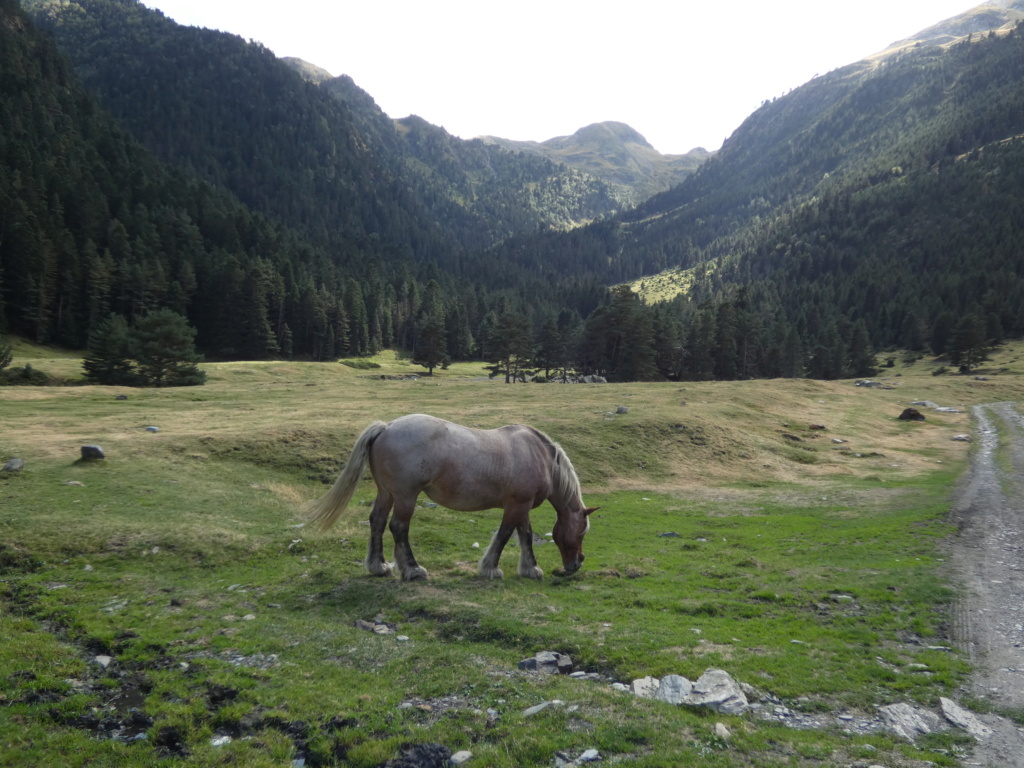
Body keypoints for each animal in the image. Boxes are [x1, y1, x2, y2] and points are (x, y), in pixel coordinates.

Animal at [303, 417, 598, 581]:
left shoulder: (521, 506)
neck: (542, 457)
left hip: (387, 493)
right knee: (398, 527)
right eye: (581, 532)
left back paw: (379, 566)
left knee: (377, 522)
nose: (577, 563)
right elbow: (505, 536)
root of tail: (386, 427)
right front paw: (491, 569)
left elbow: (525, 535)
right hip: (406, 496)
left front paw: (530, 569)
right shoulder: (516, 506)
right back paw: (413, 570)